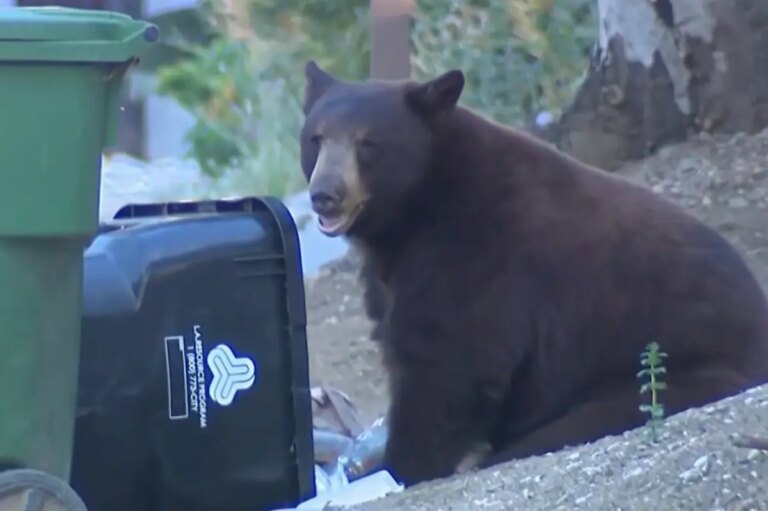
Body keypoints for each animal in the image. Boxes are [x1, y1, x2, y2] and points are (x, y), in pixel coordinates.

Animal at [298, 60, 768, 487]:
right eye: (315, 139)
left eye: (368, 143)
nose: (325, 195)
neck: (416, 206)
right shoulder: (392, 272)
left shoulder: (478, 253)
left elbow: (449, 360)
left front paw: (408, 465)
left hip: (674, 371)